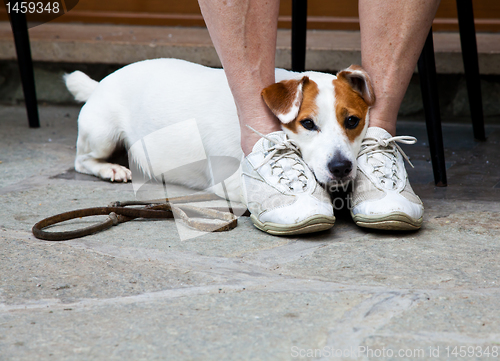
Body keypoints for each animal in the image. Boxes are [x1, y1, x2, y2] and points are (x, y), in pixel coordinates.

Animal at [64, 57, 374, 201]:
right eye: (307, 123)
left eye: (352, 121)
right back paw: (111, 168)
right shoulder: (232, 181)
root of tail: (99, 84)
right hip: (103, 134)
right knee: (82, 161)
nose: (340, 167)